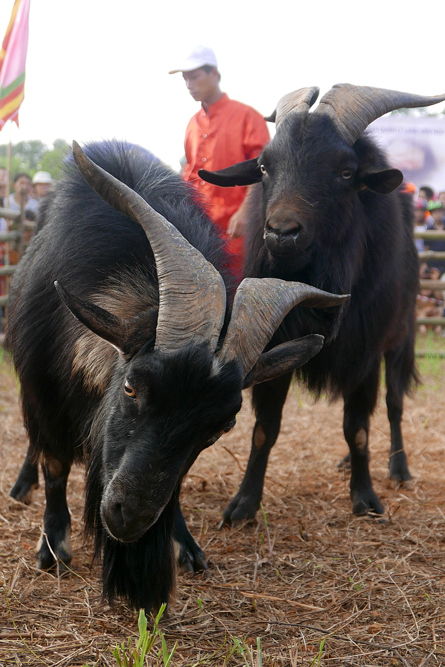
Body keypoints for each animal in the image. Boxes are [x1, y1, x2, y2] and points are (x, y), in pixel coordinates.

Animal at [6, 141, 346, 612]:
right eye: (130, 386)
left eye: (223, 426)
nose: (129, 518)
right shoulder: (42, 386)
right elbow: (54, 462)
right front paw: (54, 547)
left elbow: (178, 481)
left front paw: (183, 543)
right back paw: (24, 485)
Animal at [199, 83, 444, 520]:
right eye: (264, 167)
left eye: (345, 172)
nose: (282, 232)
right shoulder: (275, 341)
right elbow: (265, 429)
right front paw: (244, 503)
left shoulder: (365, 351)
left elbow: (358, 429)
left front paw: (365, 498)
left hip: (402, 338)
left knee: (394, 404)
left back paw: (398, 468)